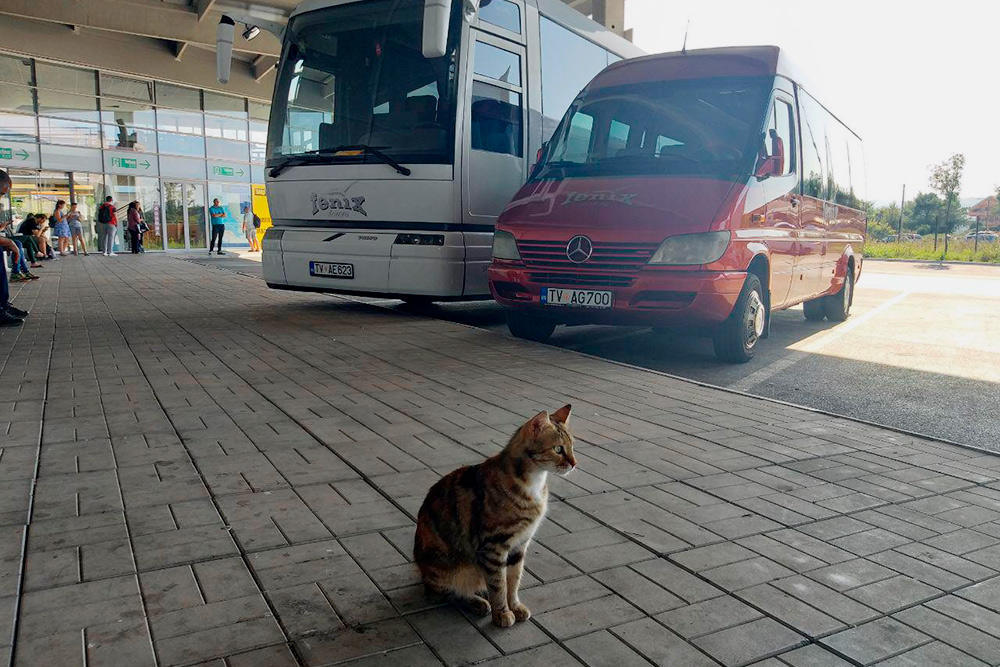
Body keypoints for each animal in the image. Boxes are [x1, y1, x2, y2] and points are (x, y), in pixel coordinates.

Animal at [412, 404, 576, 628]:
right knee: (446, 594)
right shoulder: (493, 546)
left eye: (572, 447)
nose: (575, 463)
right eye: (558, 449)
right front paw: (502, 612)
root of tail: (421, 572)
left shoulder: (519, 545)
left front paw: (514, 606)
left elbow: (513, 581)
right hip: (449, 568)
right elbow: (499, 585)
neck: (533, 484)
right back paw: (477, 601)